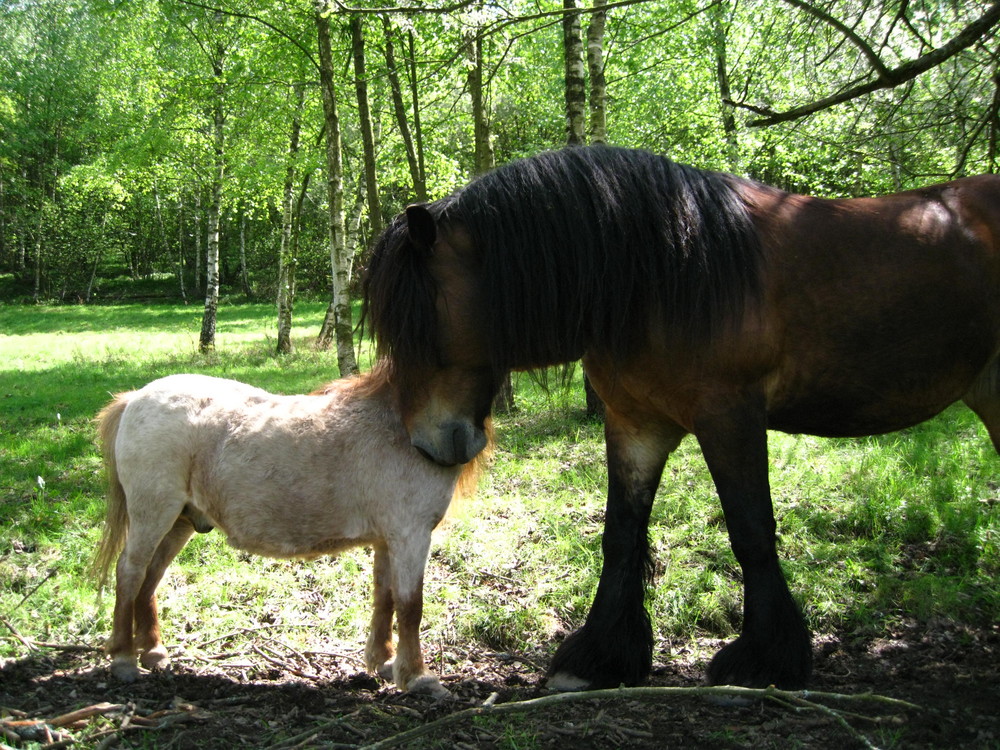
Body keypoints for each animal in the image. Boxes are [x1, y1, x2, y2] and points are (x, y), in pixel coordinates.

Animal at [92, 370, 486, 700]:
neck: (403, 424)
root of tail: (136, 397)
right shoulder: (410, 535)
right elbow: (410, 606)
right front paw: (418, 678)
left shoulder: (388, 540)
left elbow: (384, 597)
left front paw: (384, 662)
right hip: (153, 513)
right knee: (130, 572)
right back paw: (124, 659)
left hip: (179, 521)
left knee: (151, 576)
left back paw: (153, 651)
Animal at [362, 147, 1000, 692]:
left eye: (423, 321)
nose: (429, 443)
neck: (660, 271)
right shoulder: (635, 424)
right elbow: (621, 533)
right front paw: (599, 656)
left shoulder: (730, 417)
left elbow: (751, 529)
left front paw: (765, 658)